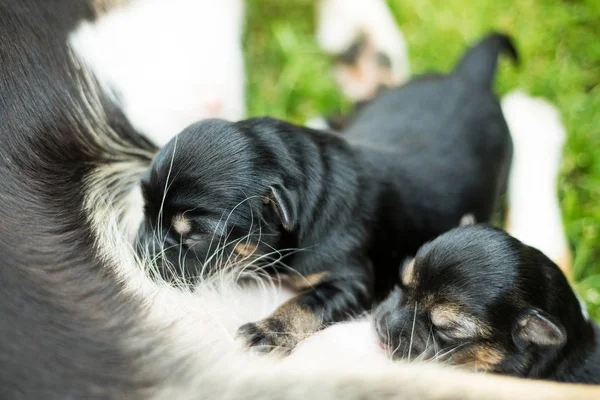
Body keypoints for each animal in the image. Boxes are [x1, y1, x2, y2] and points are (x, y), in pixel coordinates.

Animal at [137, 33, 516, 354]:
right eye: (145, 210)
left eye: (195, 236)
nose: (141, 251)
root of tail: (467, 79)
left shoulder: (349, 282)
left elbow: (305, 304)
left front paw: (267, 330)